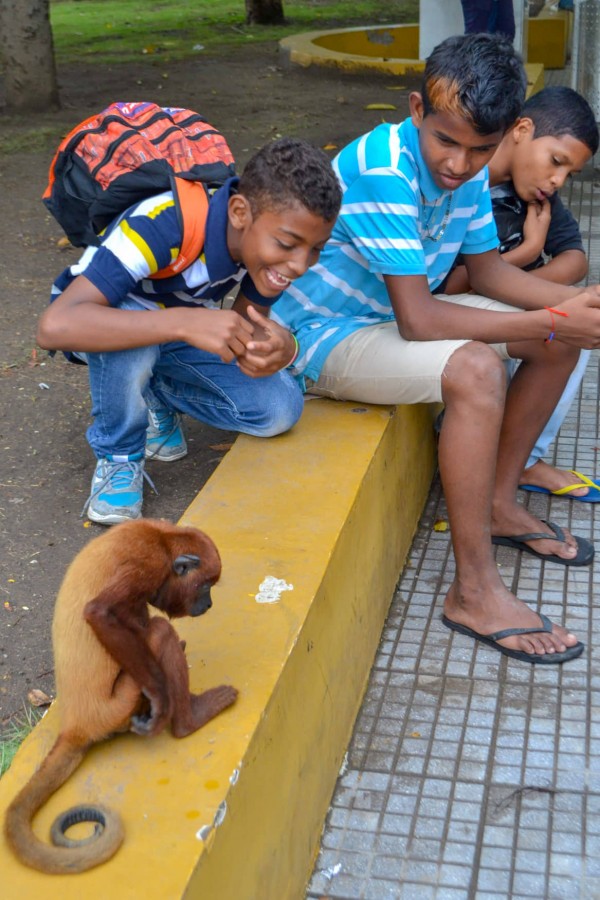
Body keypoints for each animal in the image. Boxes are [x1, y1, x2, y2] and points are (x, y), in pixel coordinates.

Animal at [5, 516, 239, 876]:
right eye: (204, 587)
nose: (209, 603)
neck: (163, 537)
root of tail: (75, 725)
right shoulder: (149, 563)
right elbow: (101, 613)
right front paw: (161, 700)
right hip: (118, 706)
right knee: (160, 630)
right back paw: (189, 718)